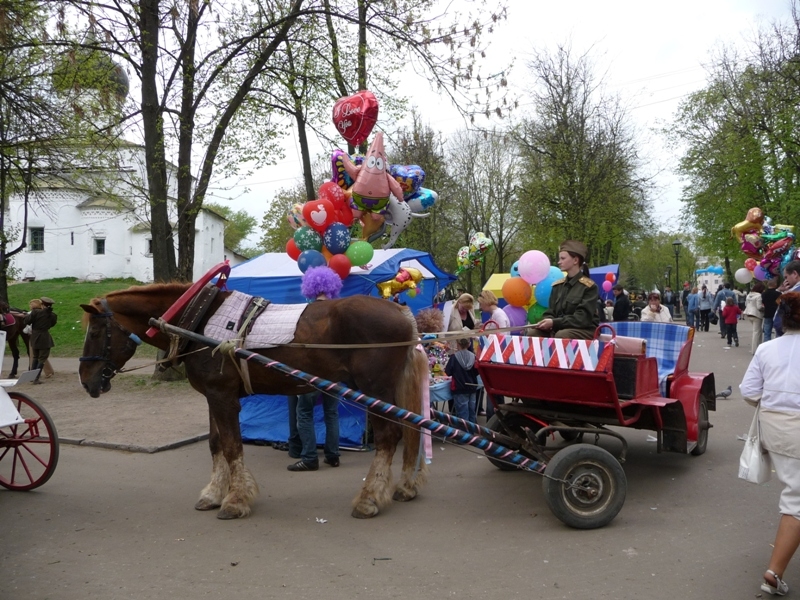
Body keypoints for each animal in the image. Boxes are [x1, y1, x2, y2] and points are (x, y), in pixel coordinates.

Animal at [79, 284, 432, 516]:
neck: (200, 320)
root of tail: (400, 310)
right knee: (411, 433)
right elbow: (216, 444)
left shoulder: (224, 398)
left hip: (376, 390)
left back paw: (369, 498)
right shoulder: (214, 396)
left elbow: (232, 446)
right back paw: (404, 487)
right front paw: (214, 493)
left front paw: (235, 500)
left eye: (95, 333)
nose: (86, 380)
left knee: (389, 437)